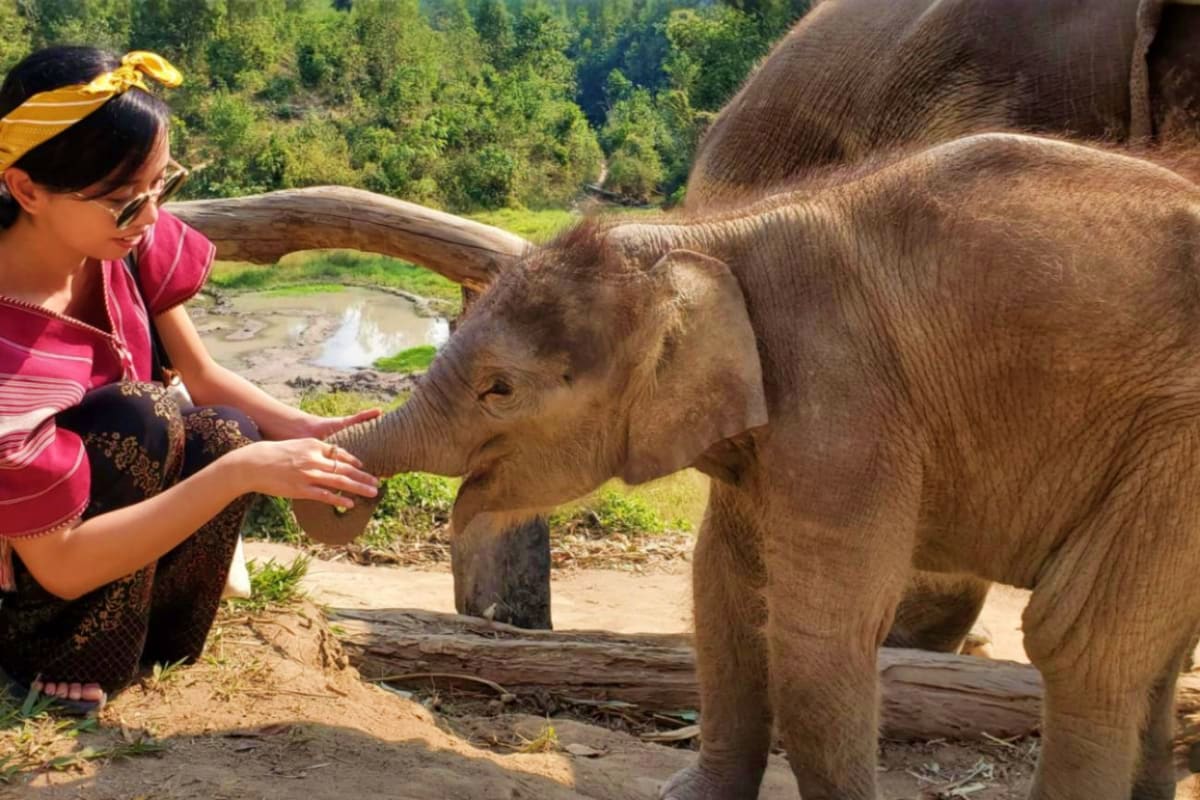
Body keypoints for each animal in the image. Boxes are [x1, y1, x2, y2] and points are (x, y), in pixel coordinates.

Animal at [294, 132, 1200, 800]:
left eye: (499, 389)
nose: (337, 495)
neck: (705, 239)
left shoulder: (843, 404)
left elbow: (815, 642)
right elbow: (723, 597)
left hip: (1175, 441)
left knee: (1079, 639)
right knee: (1147, 648)